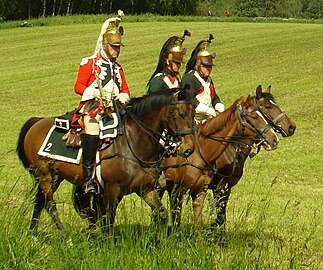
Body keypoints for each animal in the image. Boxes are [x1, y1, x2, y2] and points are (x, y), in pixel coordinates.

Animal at [16, 89, 196, 235]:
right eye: (180, 114)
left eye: (194, 114)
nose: (189, 149)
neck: (133, 143)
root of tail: (37, 122)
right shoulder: (112, 191)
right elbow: (108, 221)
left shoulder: (146, 189)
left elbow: (162, 214)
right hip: (45, 175)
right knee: (50, 204)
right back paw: (63, 234)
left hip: (54, 177)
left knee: (40, 201)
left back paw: (33, 234)